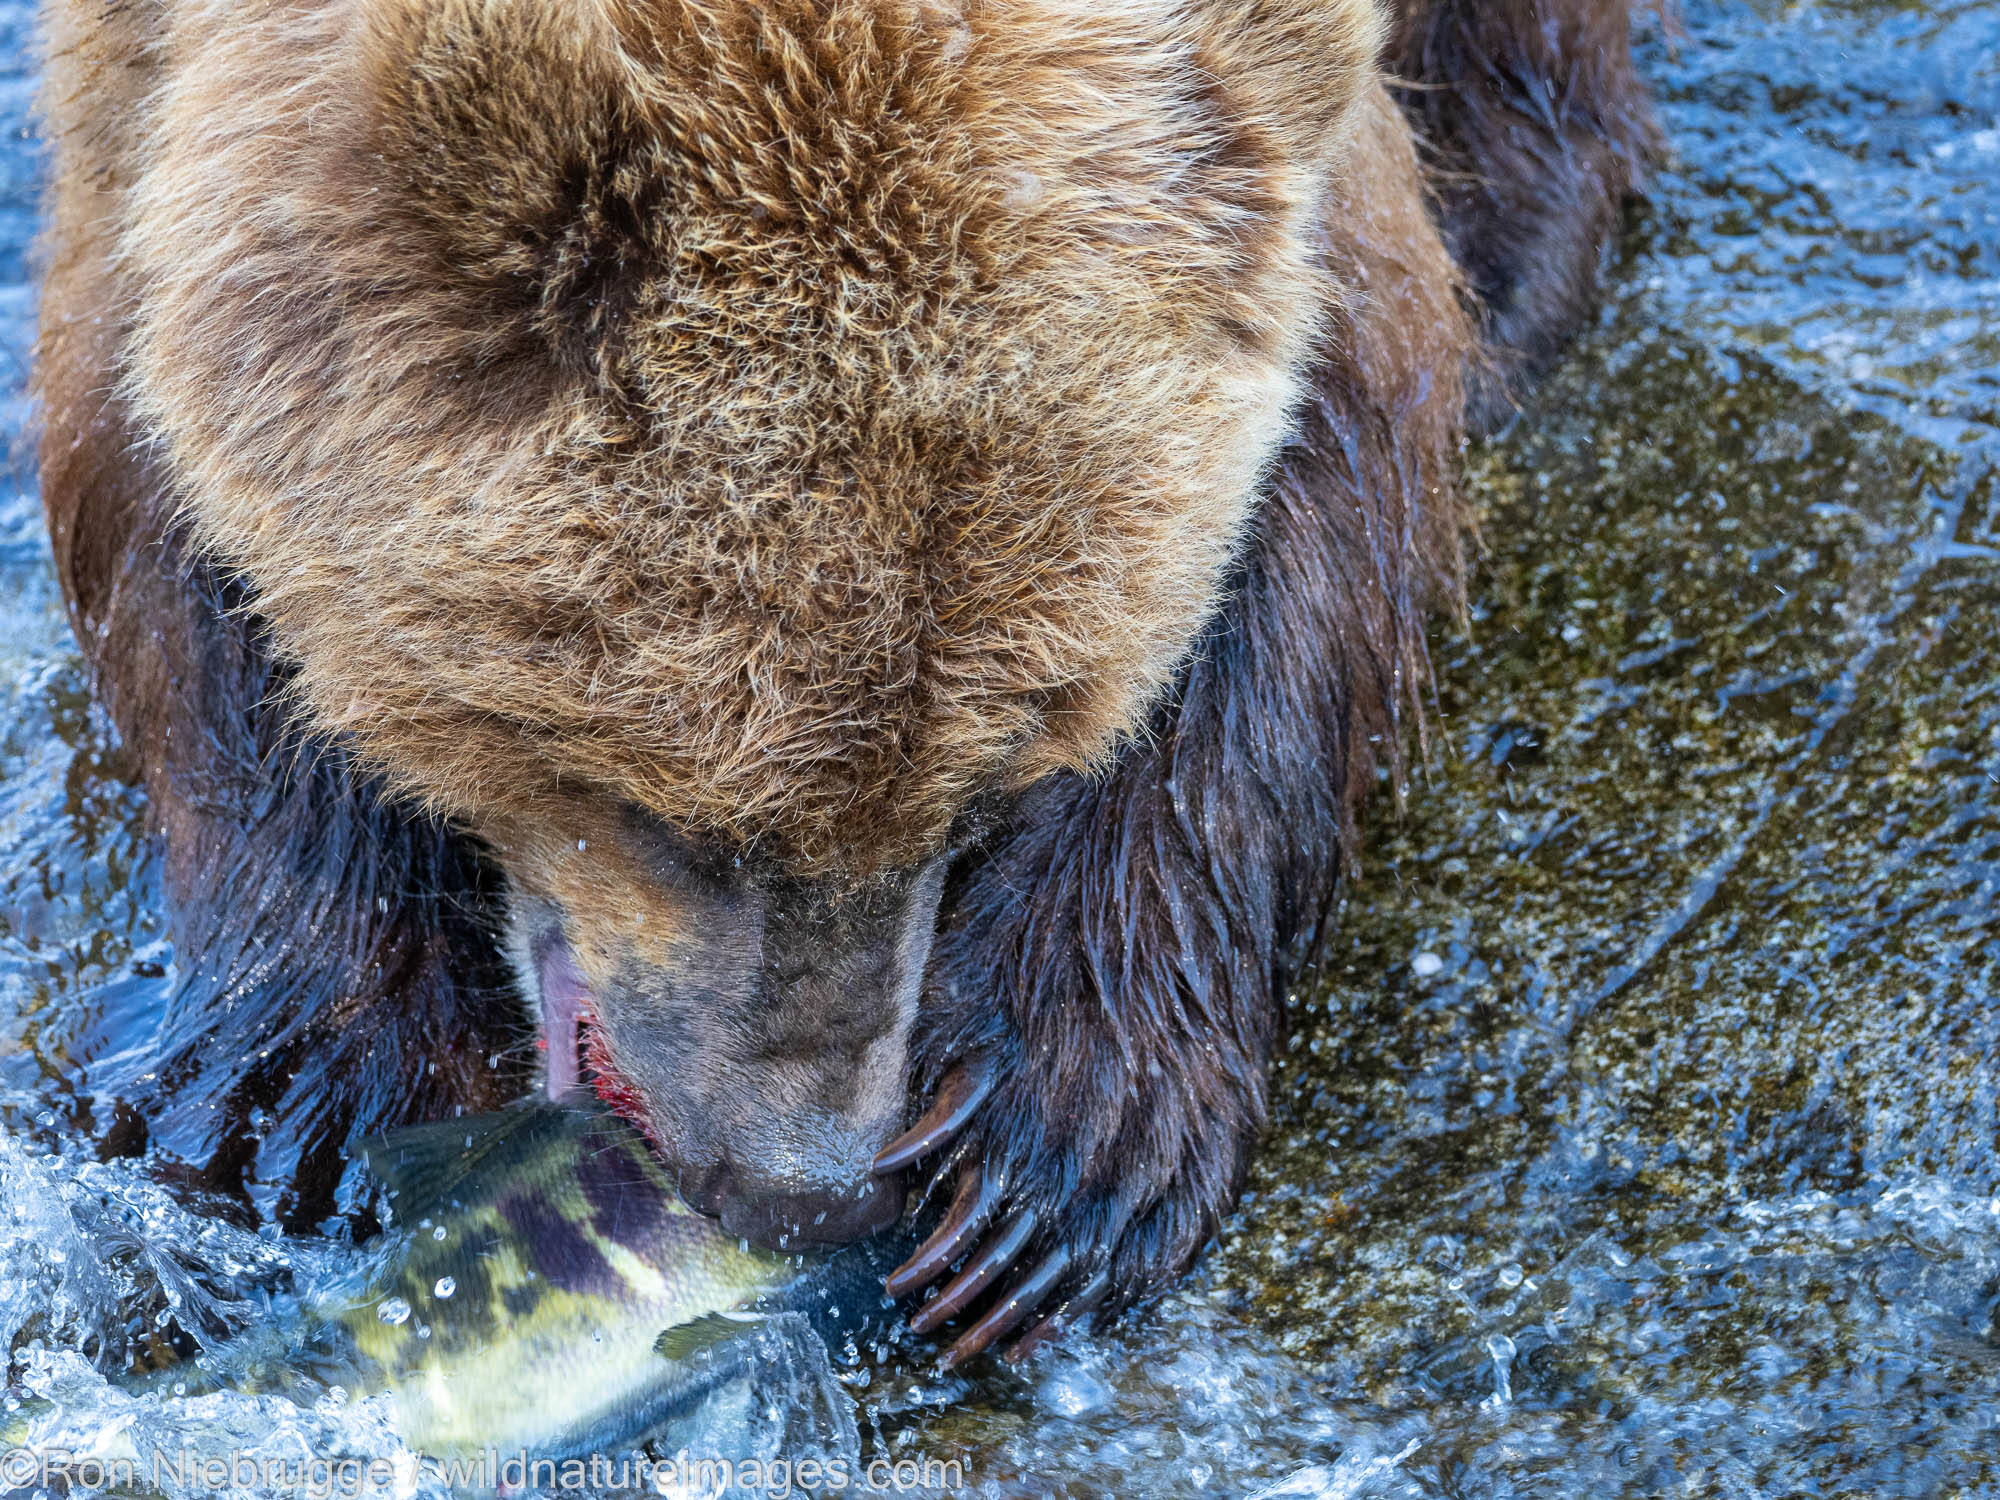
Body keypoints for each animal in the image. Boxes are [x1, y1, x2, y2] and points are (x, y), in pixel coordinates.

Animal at [35, 0, 1656, 1360]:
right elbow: (150, 434)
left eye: (996, 778)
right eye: (666, 815)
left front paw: (1042, 1168)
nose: (803, 1186)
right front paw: (293, 1091)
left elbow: (1330, 443)